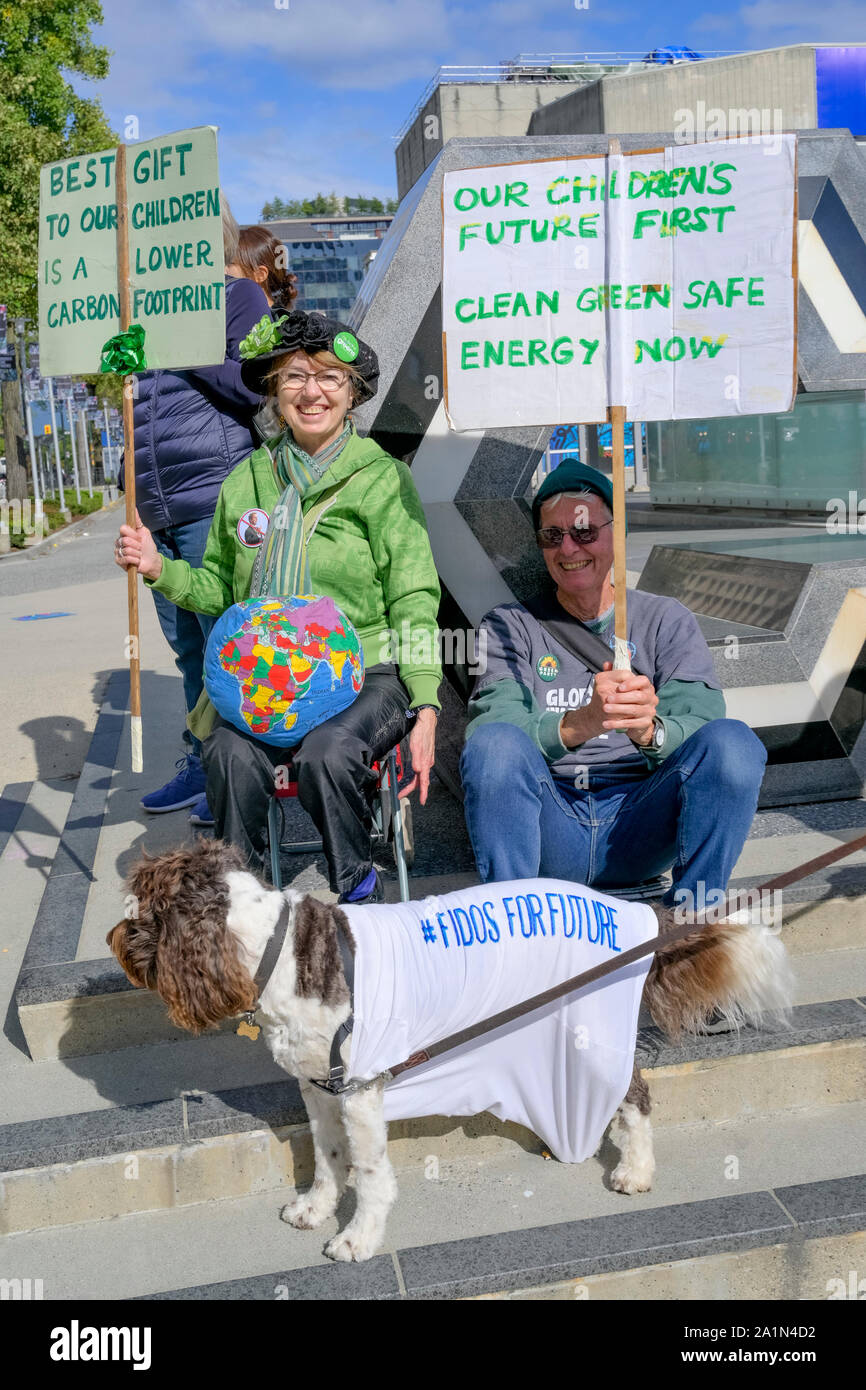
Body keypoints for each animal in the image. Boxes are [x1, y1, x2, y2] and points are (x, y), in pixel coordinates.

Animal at [111, 834, 795, 1262]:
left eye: (144, 908)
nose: (116, 938)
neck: (278, 953)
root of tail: (638, 917)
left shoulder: (360, 1090)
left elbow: (368, 1172)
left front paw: (358, 1239)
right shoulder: (318, 1085)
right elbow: (327, 1159)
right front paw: (316, 1209)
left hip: (590, 1031)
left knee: (636, 1095)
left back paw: (636, 1170)